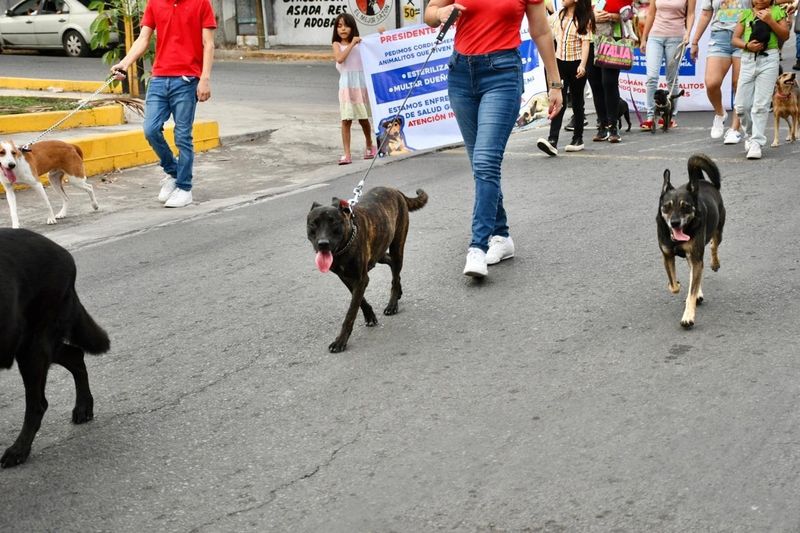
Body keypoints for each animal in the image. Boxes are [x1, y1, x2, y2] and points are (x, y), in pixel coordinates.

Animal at [0, 229, 109, 466]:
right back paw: (84, 407)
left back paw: (19, 450)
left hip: (32, 346)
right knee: (75, 355)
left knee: (38, 404)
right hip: (27, 345)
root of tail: (62, 252)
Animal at [308, 187, 432, 354]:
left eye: (333, 223)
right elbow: (360, 301)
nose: (323, 244)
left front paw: (340, 341)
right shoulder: (347, 278)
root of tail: (395, 190)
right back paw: (398, 292)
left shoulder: (360, 279)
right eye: (313, 224)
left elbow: (351, 311)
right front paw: (370, 316)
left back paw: (392, 304)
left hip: (397, 247)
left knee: (395, 274)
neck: (345, 244)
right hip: (379, 251)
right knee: (391, 265)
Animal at [656, 152, 724, 328]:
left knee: (714, 245)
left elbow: (690, 293)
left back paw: (715, 263)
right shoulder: (667, 256)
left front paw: (688, 316)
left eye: (685, 206)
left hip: (718, 230)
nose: (674, 223)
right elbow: (674, 286)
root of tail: (700, 180)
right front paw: (676, 285)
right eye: (666, 206)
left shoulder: (695, 255)